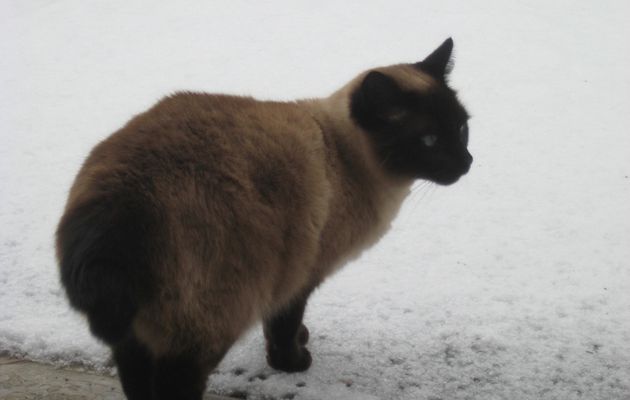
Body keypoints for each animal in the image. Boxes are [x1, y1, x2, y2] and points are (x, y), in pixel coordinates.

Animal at [56, 38, 474, 400]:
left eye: (461, 128)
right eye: (429, 141)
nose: (467, 162)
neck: (345, 158)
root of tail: (118, 202)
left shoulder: (287, 273)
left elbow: (284, 326)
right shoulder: (301, 274)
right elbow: (284, 326)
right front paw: (293, 363)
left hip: (137, 335)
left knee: (137, 382)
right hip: (205, 327)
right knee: (177, 384)